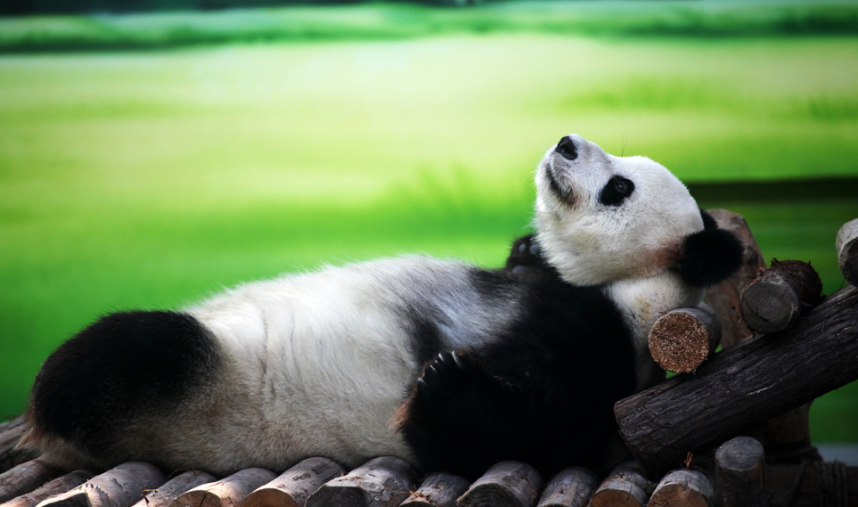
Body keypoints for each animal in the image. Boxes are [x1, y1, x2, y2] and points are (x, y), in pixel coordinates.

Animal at [20, 134, 743, 481]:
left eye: (619, 188)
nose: (565, 142)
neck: (629, 285)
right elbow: (524, 262)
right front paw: (525, 246)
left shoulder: (603, 344)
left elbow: (510, 430)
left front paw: (444, 378)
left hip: (196, 389)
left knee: (128, 351)